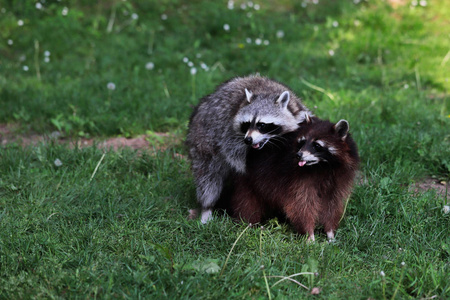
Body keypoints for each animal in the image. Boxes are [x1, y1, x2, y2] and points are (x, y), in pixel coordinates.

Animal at [185, 76, 312, 224]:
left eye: (262, 125)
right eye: (246, 124)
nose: (248, 140)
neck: (266, 93)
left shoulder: (299, 110)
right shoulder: (229, 130)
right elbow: (234, 154)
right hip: (203, 139)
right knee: (208, 178)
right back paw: (207, 207)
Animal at [229, 115, 358, 241]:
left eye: (317, 145)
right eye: (303, 142)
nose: (298, 155)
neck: (322, 166)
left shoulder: (338, 179)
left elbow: (333, 204)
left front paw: (330, 231)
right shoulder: (297, 179)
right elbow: (301, 204)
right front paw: (309, 234)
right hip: (247, 177)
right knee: (246, 202)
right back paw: (247, 223)